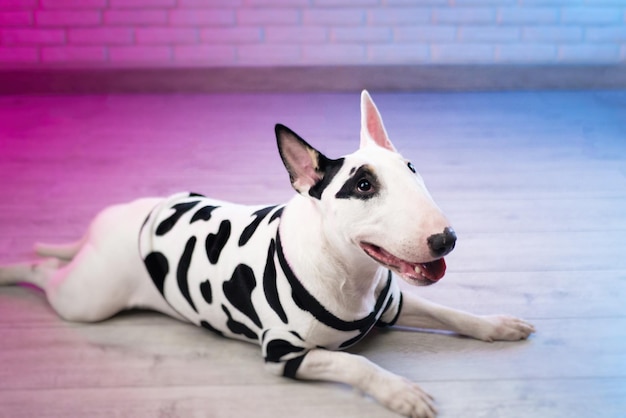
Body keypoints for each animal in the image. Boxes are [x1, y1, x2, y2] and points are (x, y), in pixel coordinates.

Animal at [1, 91, 536, 418]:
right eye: (363, 186)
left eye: (412, 169)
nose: (446, 239)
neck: (350, 273)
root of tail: (113, 221)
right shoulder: (285, 353)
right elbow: (357, 365)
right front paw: (401, 391)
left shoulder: (393, 303)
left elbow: (451, 312)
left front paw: (498, 325)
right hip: (87, 300)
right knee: (45, 271)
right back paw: (15, 268)